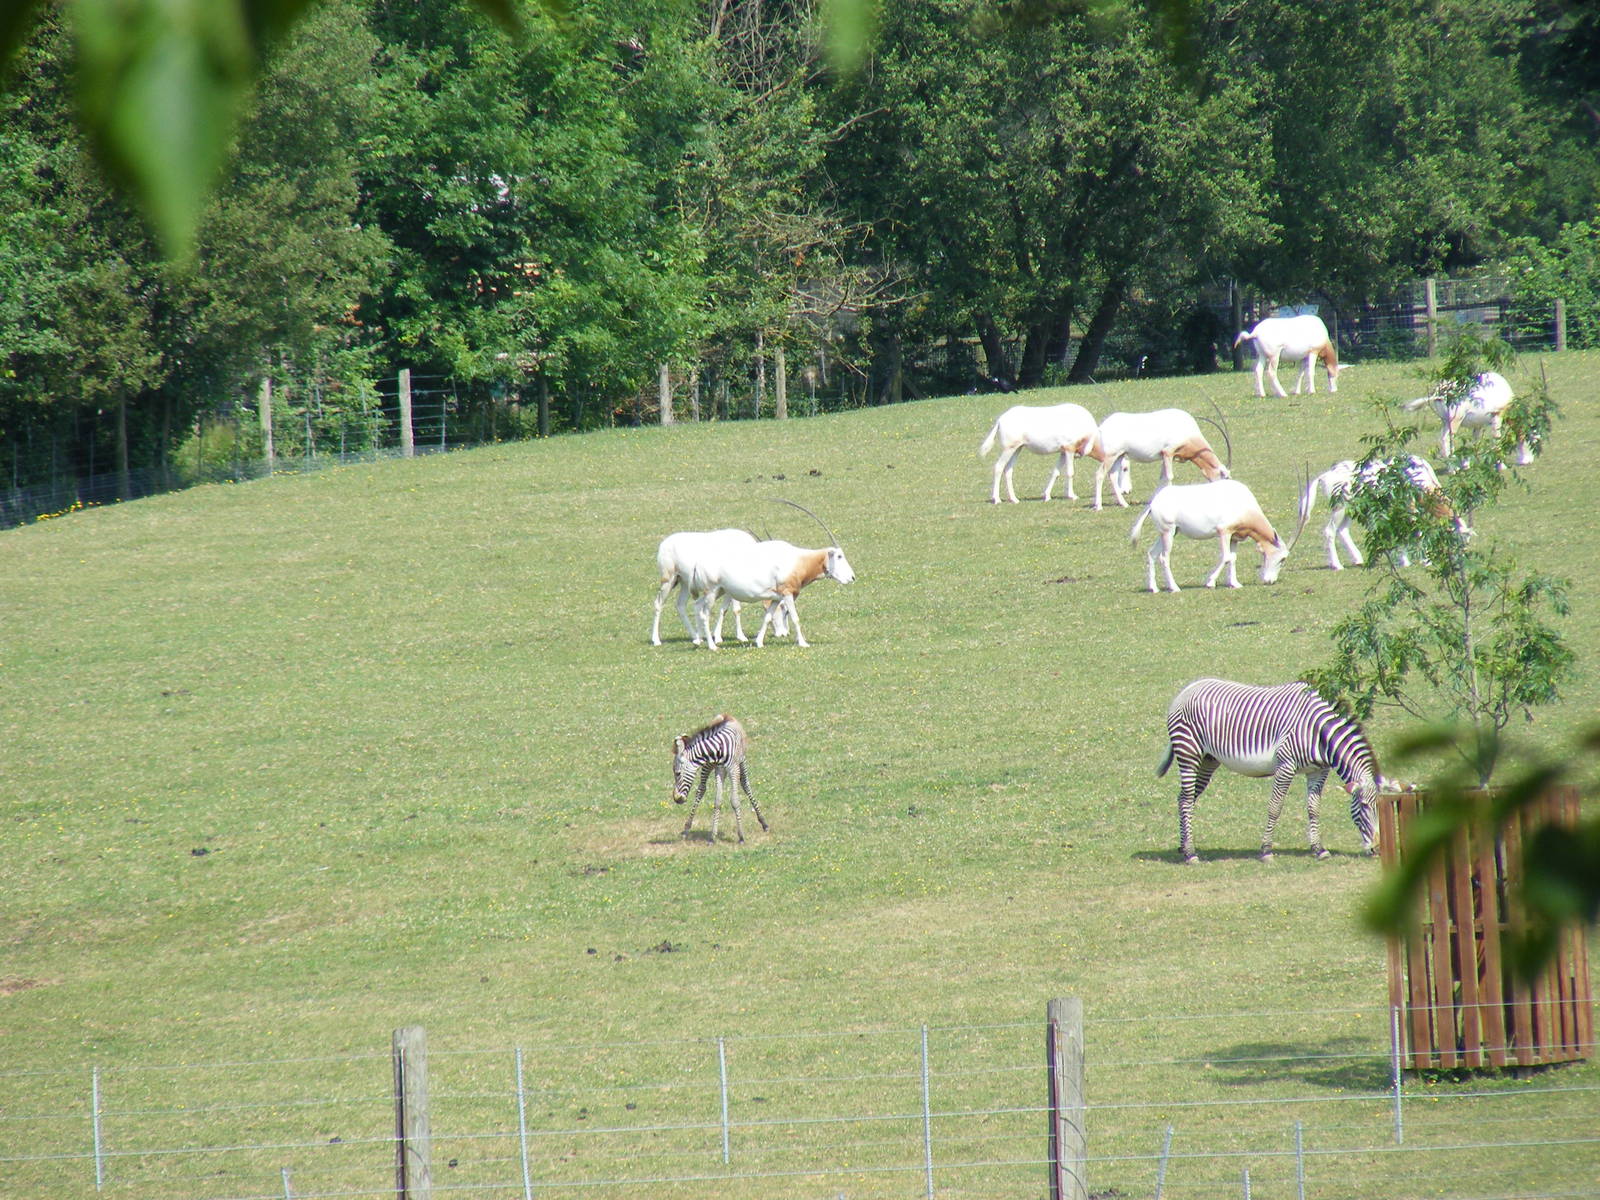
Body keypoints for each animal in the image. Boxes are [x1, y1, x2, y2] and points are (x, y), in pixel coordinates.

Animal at [671, 714, 768, 843]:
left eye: (677, 773)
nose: (676, 799)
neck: (718, 750)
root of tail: (726, 715)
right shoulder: (719, 770)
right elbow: (717, 801)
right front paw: (712, 837)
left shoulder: (733, 769)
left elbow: (735, 800)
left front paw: (741, 836)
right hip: (708, 766)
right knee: (701, 789)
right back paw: (687, 828)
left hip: (741, 761)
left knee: (745, 785)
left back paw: (763, 823)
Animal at [1156, 678, 1381, 864]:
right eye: (1364, 805)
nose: (1377, 849)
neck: (1320, 733)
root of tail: (1188, 689)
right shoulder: (1286, 765)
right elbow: (1275, 807)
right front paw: (1266, 851)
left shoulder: (1318, 771)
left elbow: (1313, 808)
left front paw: (1319, 849)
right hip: (1189, 752)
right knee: (1186, 799)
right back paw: (1190, 854)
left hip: (1208, 760)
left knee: (1184, 798)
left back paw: (1183, 846)